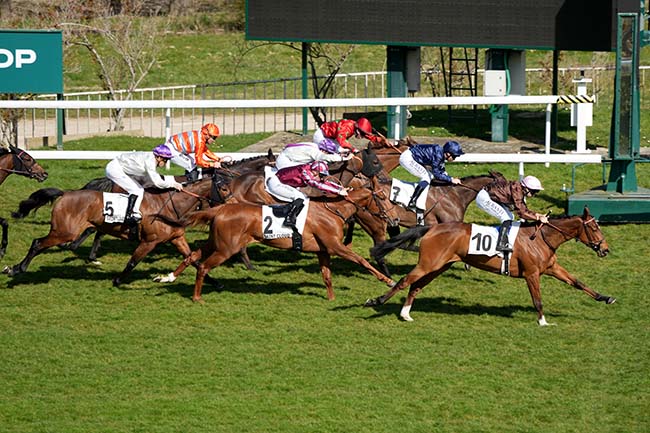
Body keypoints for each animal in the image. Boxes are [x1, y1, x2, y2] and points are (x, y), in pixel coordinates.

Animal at [3, 174, 228, 286]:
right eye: (224, 188)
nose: (229, 206)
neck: (171, 205)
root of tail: (66, 193)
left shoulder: (176, 238)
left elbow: (193, 259)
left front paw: (215, 283)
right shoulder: (149, 241)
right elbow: (132, 262)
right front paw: (117, 280)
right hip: (64, 232)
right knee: (38, 243)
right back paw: (15, 269)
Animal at [156, 173, 400, 304]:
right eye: (381, 197)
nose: (395, 219)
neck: (333, 210)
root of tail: (220, 209)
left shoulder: (323, 250)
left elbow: (327, 276)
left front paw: (330, 298)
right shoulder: (335, 246)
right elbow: (362, 261)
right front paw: (388, 280)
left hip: (215, 242)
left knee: (192, 256)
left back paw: (167, 278)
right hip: (226, 248)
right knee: (204, 266)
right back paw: (197, 297)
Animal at [364, 206, 612, 324]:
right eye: (594, 228)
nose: (606, 249)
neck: (542, 238)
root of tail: (432, 227)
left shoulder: (551, 268)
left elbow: (578, 283)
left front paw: (606, 297)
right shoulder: (532, 273)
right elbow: (538, 299)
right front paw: (542, 321)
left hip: (438, 266)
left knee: (415, 286)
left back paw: (405, 314)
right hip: (429, 264)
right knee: (404, 280)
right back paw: (376, 301)